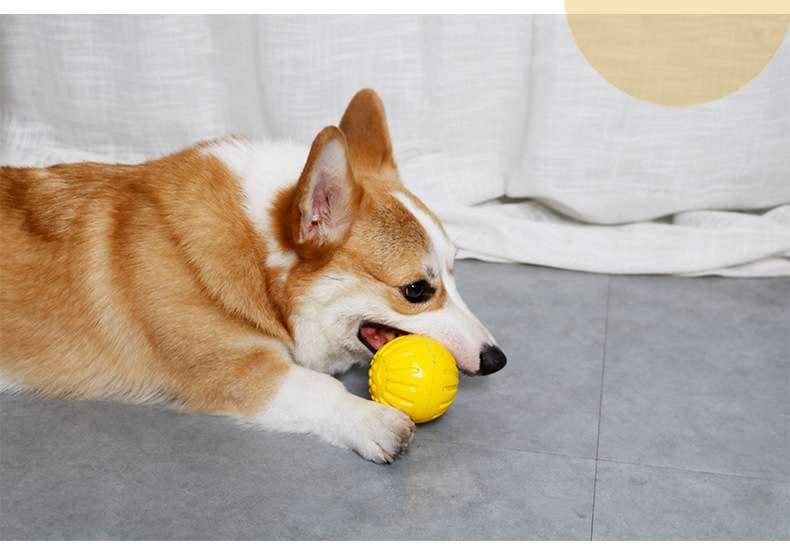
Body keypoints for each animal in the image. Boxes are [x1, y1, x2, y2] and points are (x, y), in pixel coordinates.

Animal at [0, 89, 508, 462]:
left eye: (454, 273)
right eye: (416, 290)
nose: (497, 360)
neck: (259, 252)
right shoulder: (231, 369)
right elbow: (316, 386)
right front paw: (371, 421)